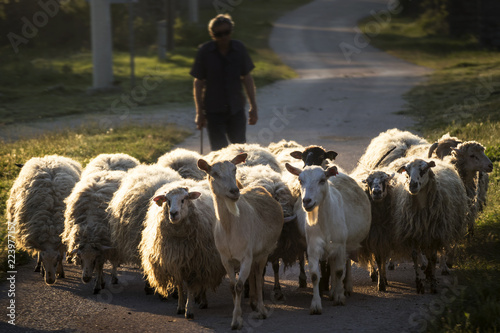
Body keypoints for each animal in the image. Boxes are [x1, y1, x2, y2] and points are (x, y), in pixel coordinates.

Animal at [141, 178, 227, 318]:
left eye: (184, 199)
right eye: (167, 200)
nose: (173, 214)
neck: (179, 238)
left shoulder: (194, 263)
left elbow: (191, 286)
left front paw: (189, 310)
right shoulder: (176, 262)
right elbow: (180, 284)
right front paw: (180, 307)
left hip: (206, 260)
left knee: (203, 281)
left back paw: (202, 301)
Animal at [199, 154, 286, 330]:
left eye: (235, 169)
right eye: (214, 173)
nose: (234, 191)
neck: (229, 227)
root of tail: (260, 188)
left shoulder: (246, 256)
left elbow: (239, 286)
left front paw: (236, 321)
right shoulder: (226, 258)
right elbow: (233, 287)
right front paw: (236, 315)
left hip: (264, 252)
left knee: (258, 276)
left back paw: (261, 309)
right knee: (253, 274)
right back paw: (252, 302)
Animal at [286, 163, 372, 314]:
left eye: (322, 180)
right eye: (300, 180)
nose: (306, 201)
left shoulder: (340, 245)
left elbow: (339, 271)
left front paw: (339, 297)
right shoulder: (313, 247)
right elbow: (315, 275)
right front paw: (316, 304)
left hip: (347, 243)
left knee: (346, 262)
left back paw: (346, 287)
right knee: (332, 264)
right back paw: (332, 291)